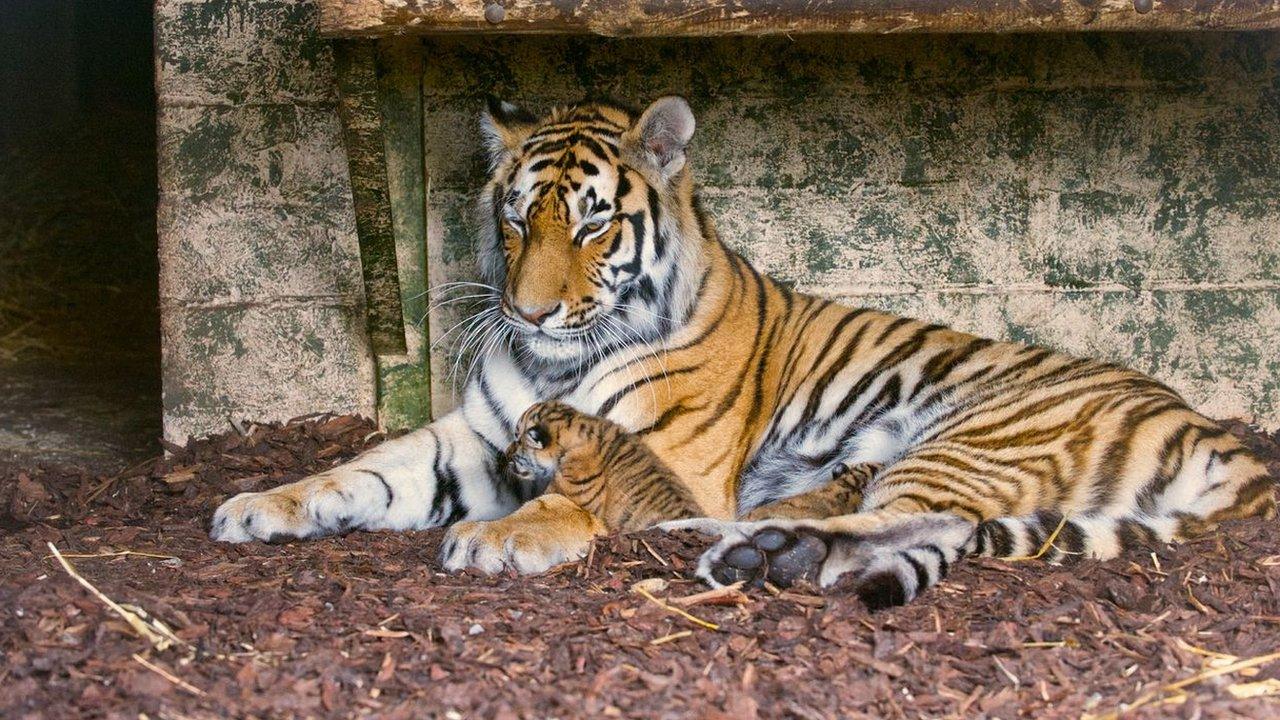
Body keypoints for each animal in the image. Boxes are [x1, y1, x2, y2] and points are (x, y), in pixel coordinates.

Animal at [209, 94, 1269, 599]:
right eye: (513, 219)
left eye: (592, 225)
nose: (530, 312)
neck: (558, 359)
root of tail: (1221, 436)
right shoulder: (477, 437)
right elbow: (365, 469)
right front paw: (259, 505)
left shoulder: (660, 453)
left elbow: (575, 500)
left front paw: (500, 536)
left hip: (968, 440)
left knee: (915, 529)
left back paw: (759, 553)